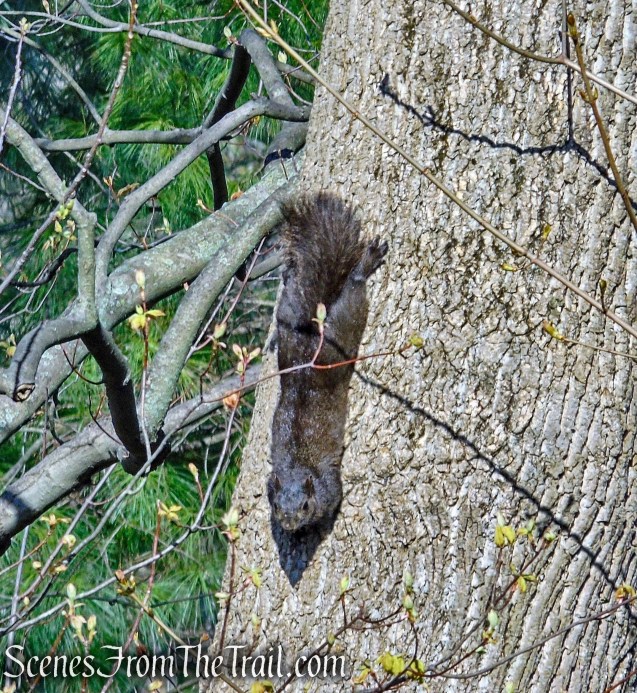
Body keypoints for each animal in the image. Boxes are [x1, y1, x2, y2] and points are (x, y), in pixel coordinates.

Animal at [267, 193, 388, 532]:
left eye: (305, 505)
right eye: (277, 506)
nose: (290, 524)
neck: (298, 467)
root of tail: (313, 336)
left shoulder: (330, 483)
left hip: (346, 327)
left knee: (355, 289)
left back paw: (365, 265)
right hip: (289, 315)